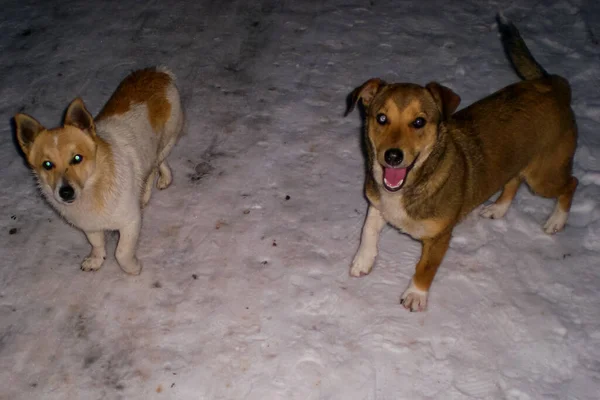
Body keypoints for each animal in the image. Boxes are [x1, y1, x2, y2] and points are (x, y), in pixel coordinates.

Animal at [14, 68, 183, 276]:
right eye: (47, 164)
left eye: (77, 158)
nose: (65, 192)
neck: (94, 187)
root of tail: (158, 72)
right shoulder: (90, 226)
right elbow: (96, 244)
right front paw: (96, 260)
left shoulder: (130, 222)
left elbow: (121, 252)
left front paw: (133, 268)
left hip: (167, 141)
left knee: (156, 164)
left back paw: (155, 185)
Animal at [346, 17, 576, 310]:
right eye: (382, 118)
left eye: (419, 122)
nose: (393, 156)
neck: (410, 185)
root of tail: (552, 84)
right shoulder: (376, 202)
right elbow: (368, 230)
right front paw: (363, 260)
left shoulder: (439, 238)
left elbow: (425, 268)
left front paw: (415, 294)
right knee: (513, 180)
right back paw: (498, 209)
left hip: (543, 176)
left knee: (571, 183)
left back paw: (557, 220)